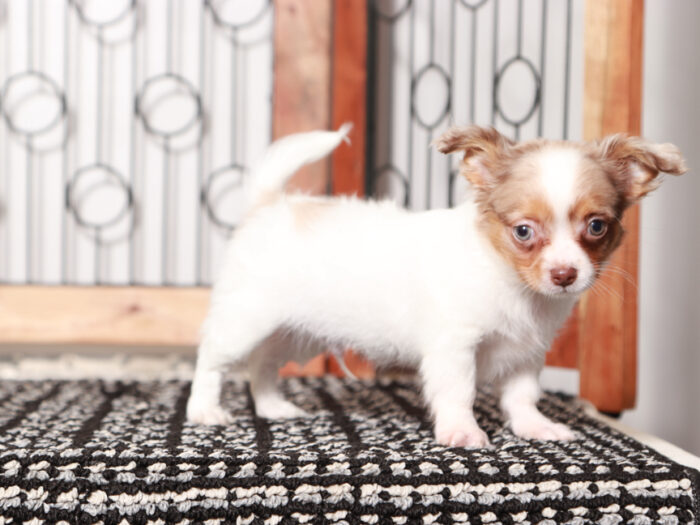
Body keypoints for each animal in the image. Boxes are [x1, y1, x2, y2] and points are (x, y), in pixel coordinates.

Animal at [189, 124, 688, 446]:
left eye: (597, 227)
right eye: (523, 231)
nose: (565, 275)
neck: (513, 287)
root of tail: (271, 204)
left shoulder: (528, 353)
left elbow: (522, 395)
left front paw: (535, 427)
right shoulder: (455, 348)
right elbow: (458, 392)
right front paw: (463, 432)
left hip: (296, 333)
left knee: (263, 365)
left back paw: (273, 407)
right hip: (247, 320)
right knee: (212, 360)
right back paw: (204, 410)